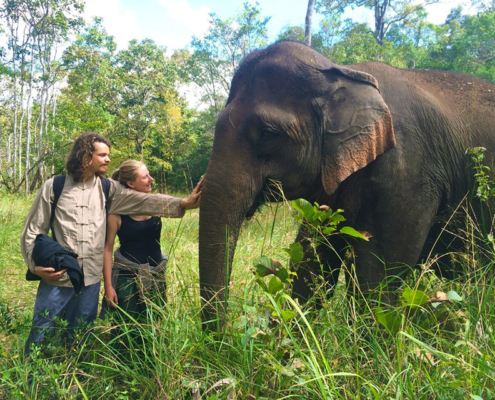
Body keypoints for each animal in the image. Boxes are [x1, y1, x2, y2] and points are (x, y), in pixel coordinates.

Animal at [198, 41, 495, 328]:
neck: (343, 72)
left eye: (268, 134)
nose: (225, 335)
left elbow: (379, 274)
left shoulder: (409, 171)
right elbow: (314, 261)